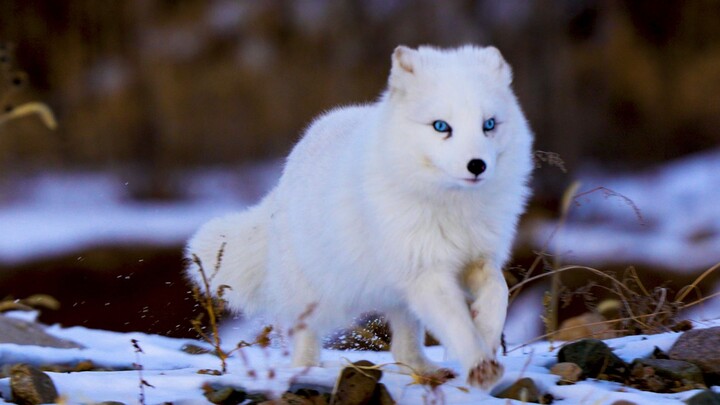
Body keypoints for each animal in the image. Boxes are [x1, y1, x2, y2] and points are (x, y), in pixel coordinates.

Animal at [186, 44, 534, 389]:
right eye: (441, 126)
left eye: (489, 125)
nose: (477, 165)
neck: (453, 206)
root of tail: (285, 174)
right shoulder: (425, 271)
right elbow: (456, 322)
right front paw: (480, 365)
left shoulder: (478, 257)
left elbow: (498, 293)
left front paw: (486, 334)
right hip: (324, 294)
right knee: (303, 334)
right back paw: (305, 370)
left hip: (398, 296)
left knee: (403, 348)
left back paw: (426, 370)